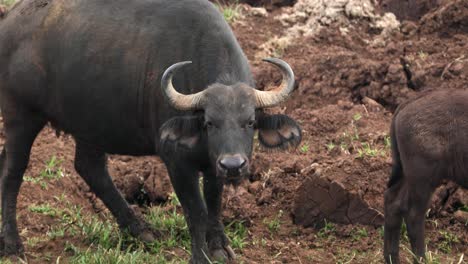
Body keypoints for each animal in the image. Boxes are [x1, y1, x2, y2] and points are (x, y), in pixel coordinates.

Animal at [0, 0, 300, 262]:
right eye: (209, 122)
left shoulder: (214, 162)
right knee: (12, 173)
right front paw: (199, 256)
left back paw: (141, 230)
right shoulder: (176, 161)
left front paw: (219, 248)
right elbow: (196, 211)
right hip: (20, 117)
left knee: (90, 168)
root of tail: (10, 22)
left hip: (91, 125)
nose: (234, 165)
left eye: (249, 121)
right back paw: (13, 245)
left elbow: (214, 203)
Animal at [384, 89, 468, 264]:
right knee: (413, 215)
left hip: (408, 175)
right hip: (423, 180)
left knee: (393, 202)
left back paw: (391, 258)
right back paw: (421, 258)